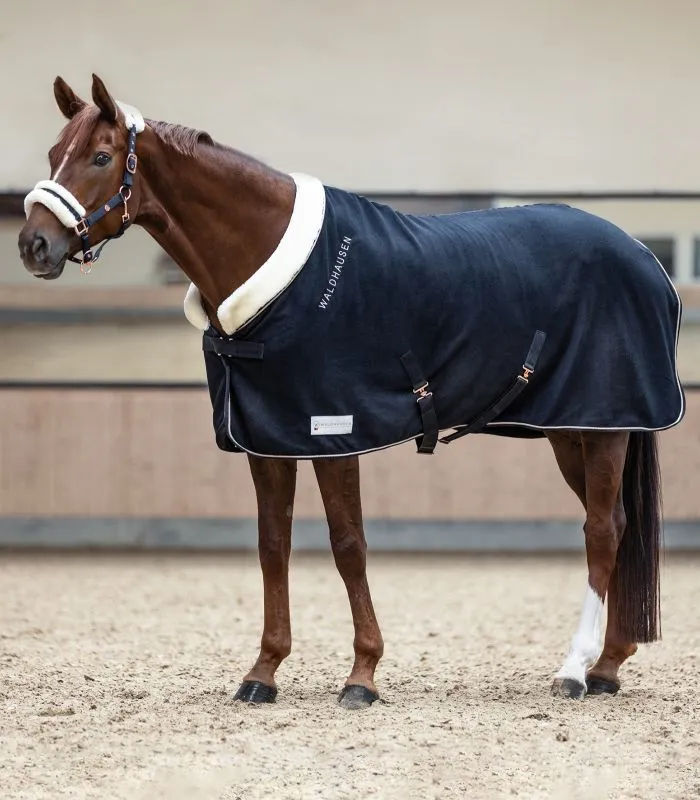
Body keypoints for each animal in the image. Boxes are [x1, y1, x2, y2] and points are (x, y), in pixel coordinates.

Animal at [17, 75, 684, 708]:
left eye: (101, 156)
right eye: (53, 152)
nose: (33, 245)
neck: (283, 275)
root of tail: (642, 256)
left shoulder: (333, 430)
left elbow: (348, 546)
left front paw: (362, 675)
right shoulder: (269, 438)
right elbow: (272, 545)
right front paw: (263, 673)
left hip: (601, 425)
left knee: (601, 530)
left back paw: (574, 670)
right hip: (573, 431)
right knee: (617, 523)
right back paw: (607, 667)